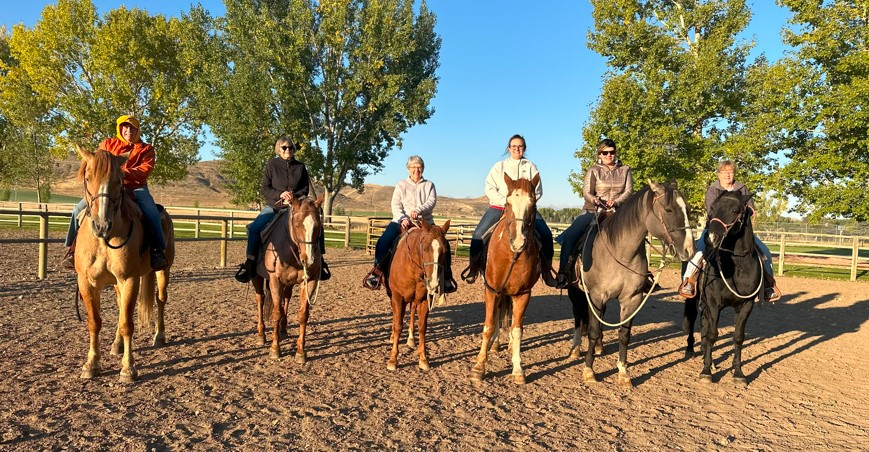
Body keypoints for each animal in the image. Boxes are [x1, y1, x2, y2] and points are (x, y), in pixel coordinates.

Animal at [74, 145, 176, 382]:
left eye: (118, 180)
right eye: (87, 177)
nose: (102, 225)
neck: (104, 240)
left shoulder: (129, 279)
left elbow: (127, 324)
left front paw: (128, 368)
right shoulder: (87, 283)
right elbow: (95, 322)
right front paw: (91, 364)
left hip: (163, 271)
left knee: (160, 300)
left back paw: (159, 336)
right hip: (116, 284)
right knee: (121, 307)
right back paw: (117, 345)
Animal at [251, 192, 326, 366]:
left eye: (318, 226)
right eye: (297, 225)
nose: (308, 259)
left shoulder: (310, 282)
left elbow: (303, 315)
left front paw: (300, 352)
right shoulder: (275, 281)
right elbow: (276, 313)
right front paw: (274, 349)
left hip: (289, 284)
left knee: (286, 297)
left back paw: (283, 330)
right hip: (257, 277)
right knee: (260, 299)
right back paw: (261, 335)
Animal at [386, 219, 454, 370]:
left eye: (445, 251)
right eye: (425, 248)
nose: (433, 283)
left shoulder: (424, 300)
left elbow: (422, 327)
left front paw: (423, 359)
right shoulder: (398, 297)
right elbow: (398, 325)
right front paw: (393, 360)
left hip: (414, 300)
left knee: (412, 312)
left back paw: (411, 339)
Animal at [472, 171, 540, 384]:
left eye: (532, 204)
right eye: (508, 203)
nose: (518, 242)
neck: (512, 255)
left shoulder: (523, 294)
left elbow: (517, 329)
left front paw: (518, 369)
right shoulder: (492, 290)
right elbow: (489, 325)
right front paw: (479, 367)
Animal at [568, 182, 696, 386]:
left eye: (688, 209)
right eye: (668, 209)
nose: (689, 249)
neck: (619, 252)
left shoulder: (632, 300)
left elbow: (624, 335)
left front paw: (623, 372)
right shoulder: (596, 297)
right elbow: (593, 331)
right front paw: (589, 370)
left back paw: (599, 347)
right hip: (576, 292)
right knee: (579, 316)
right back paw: (575, 348)